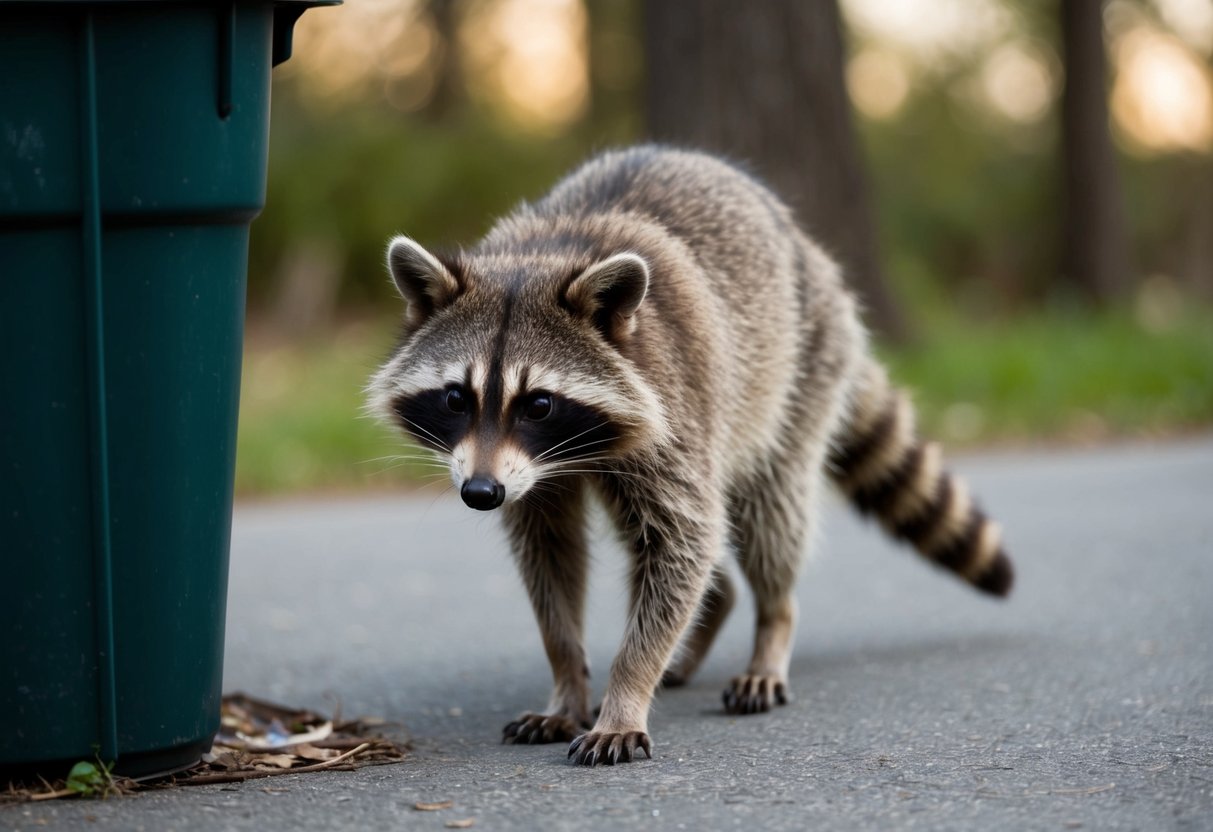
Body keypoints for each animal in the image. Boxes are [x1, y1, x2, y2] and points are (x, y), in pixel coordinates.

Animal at [368, 145, 1013, 766]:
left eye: (540, 404)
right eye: (456, 397)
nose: (480, 493)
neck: (546, 253)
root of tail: (810, 252)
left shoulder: (673, 407)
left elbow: (685, 538)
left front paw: (628, 688)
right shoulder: (534, 475)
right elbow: (551, 552)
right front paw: (567, 681)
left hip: (798, 374)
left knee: (769, 514)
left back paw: (771, 628)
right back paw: (712, 609)